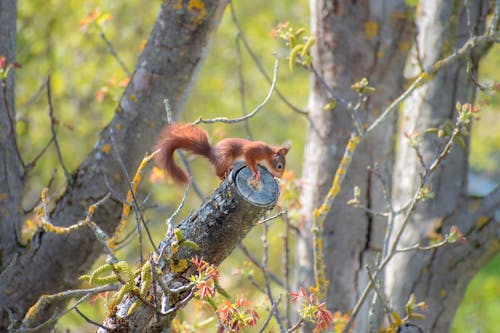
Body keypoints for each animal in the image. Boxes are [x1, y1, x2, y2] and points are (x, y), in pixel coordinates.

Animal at [154, 122, 292, 183]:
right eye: (279, 166)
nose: (279, 177)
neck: (267, 154)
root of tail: (211, 154)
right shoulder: (254, 151)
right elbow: (250, 160)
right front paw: (256, 172)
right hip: (225, 157)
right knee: (217, 172)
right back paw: (225, 172)